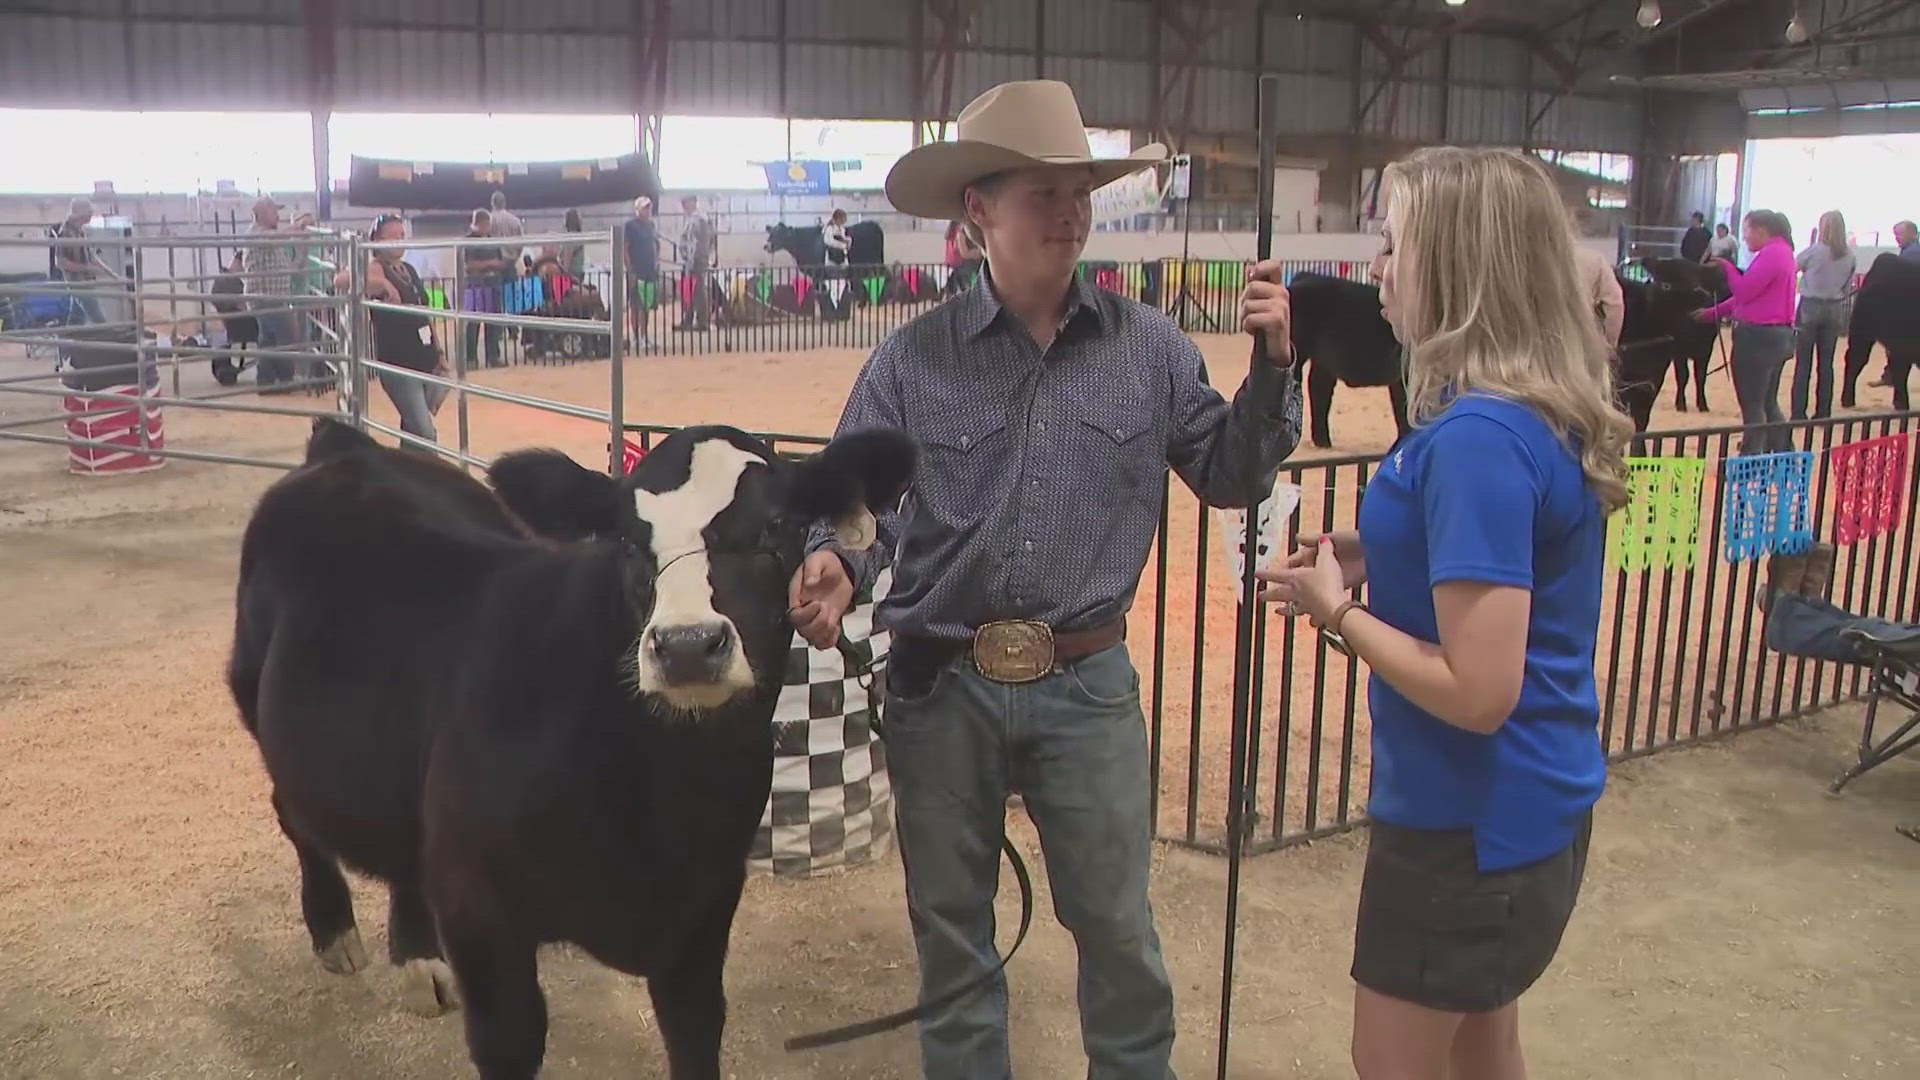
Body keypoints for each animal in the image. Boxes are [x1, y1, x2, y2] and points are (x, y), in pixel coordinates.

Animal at [224, 417, 913, 1068]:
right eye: (628, 540)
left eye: (776, 526)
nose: (688, 645)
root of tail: (348, 451)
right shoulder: (479, 906)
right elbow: (512, 1041)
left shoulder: (703, 908)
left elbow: (695, 1034)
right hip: (259, 702)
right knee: (292, 812)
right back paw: (334, 930)